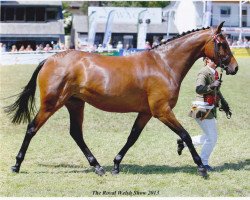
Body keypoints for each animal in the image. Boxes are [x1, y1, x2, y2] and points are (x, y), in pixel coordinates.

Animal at [4, 21, 237, 177]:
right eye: (223, 43)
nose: (235, 67)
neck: (163, 64)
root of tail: (50, 59)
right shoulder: (162, 111)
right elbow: (186, 135)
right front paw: (201, 167)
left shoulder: (146, 112)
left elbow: (132, 137)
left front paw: (116, 164)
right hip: (52, 104)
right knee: (32, 128)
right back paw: (16, 165)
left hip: (75, 104)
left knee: (76, 133)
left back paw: (98, 167)